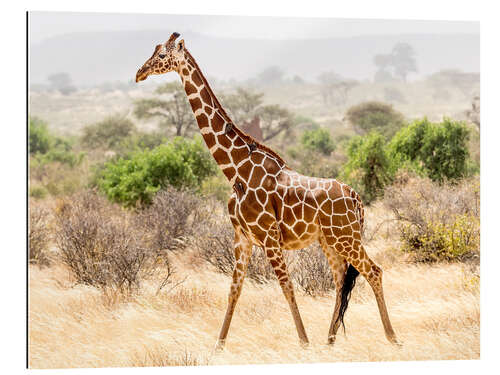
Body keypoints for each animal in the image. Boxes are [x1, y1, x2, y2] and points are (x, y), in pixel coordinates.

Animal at [136, 32, 398, 350]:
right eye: (154, 51)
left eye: (162, 56)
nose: (139, 73)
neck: (235, 169)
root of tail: (355, 197)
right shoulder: (242, 237)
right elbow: (234, 290)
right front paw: (218, 347)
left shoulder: (270, 236)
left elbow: (287, 287)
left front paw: (303, 343)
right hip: (330, 240)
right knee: (341, 281)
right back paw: (330, 340)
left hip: (346, 237)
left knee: (373, 271)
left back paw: (391, 337)